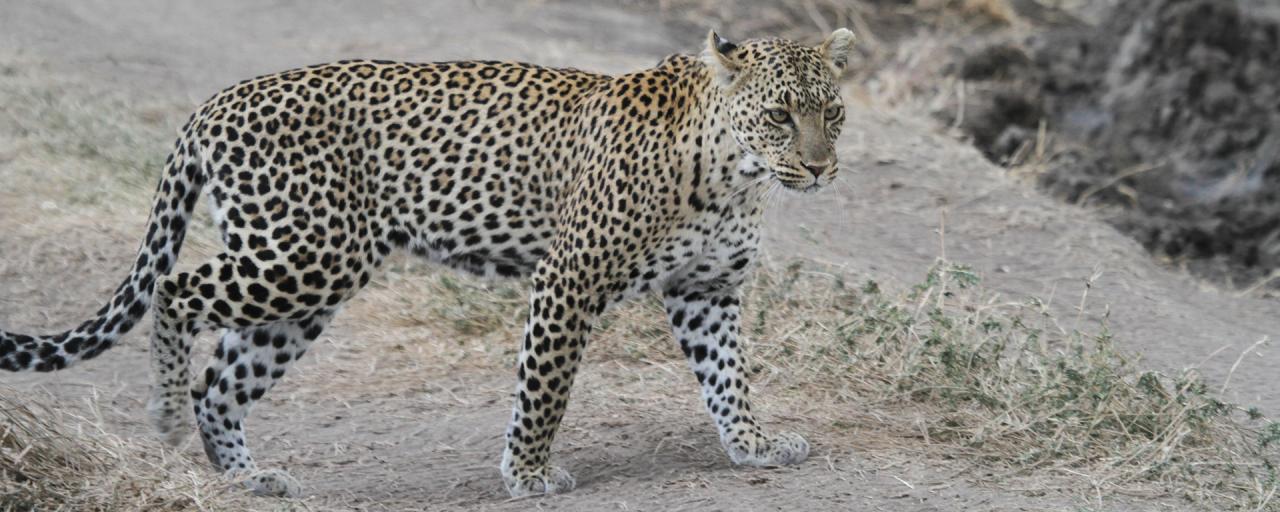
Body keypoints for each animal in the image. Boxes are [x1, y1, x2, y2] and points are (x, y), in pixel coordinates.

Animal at [2, 27, 860, 496]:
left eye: (835, 113)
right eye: (780, 115)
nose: (821, 170)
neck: (734, 174)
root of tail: (214, 103)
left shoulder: (706, 288)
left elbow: (728, 375)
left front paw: (752, 445)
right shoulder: (569, 279)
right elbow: (545, 390)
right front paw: (528, 474)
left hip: (302, 288)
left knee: (223, 379)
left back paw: (247, 479)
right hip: (305, 254)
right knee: (176, 293)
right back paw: (165, 418)